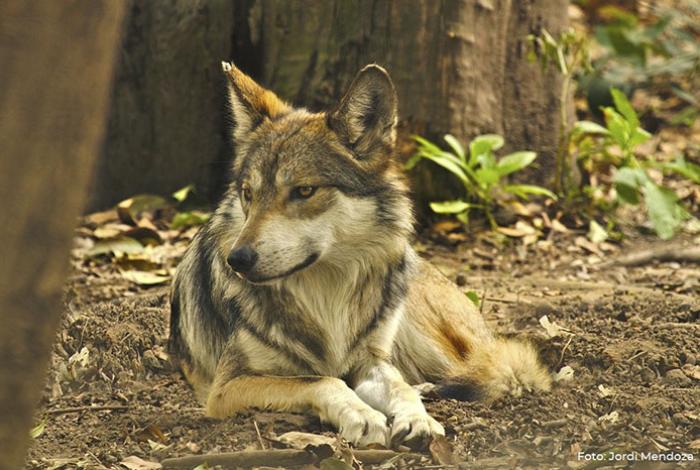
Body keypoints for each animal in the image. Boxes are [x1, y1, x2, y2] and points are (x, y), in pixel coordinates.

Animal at [169, 62, 553, 448]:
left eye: (304, 191)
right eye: (248, 194)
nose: (238, 259)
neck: (327, 296)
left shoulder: (370, 361)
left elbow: (398, 388)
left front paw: (418, 419)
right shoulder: (224, 388)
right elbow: (324, 380)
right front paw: (364, 417)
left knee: (489, 368)